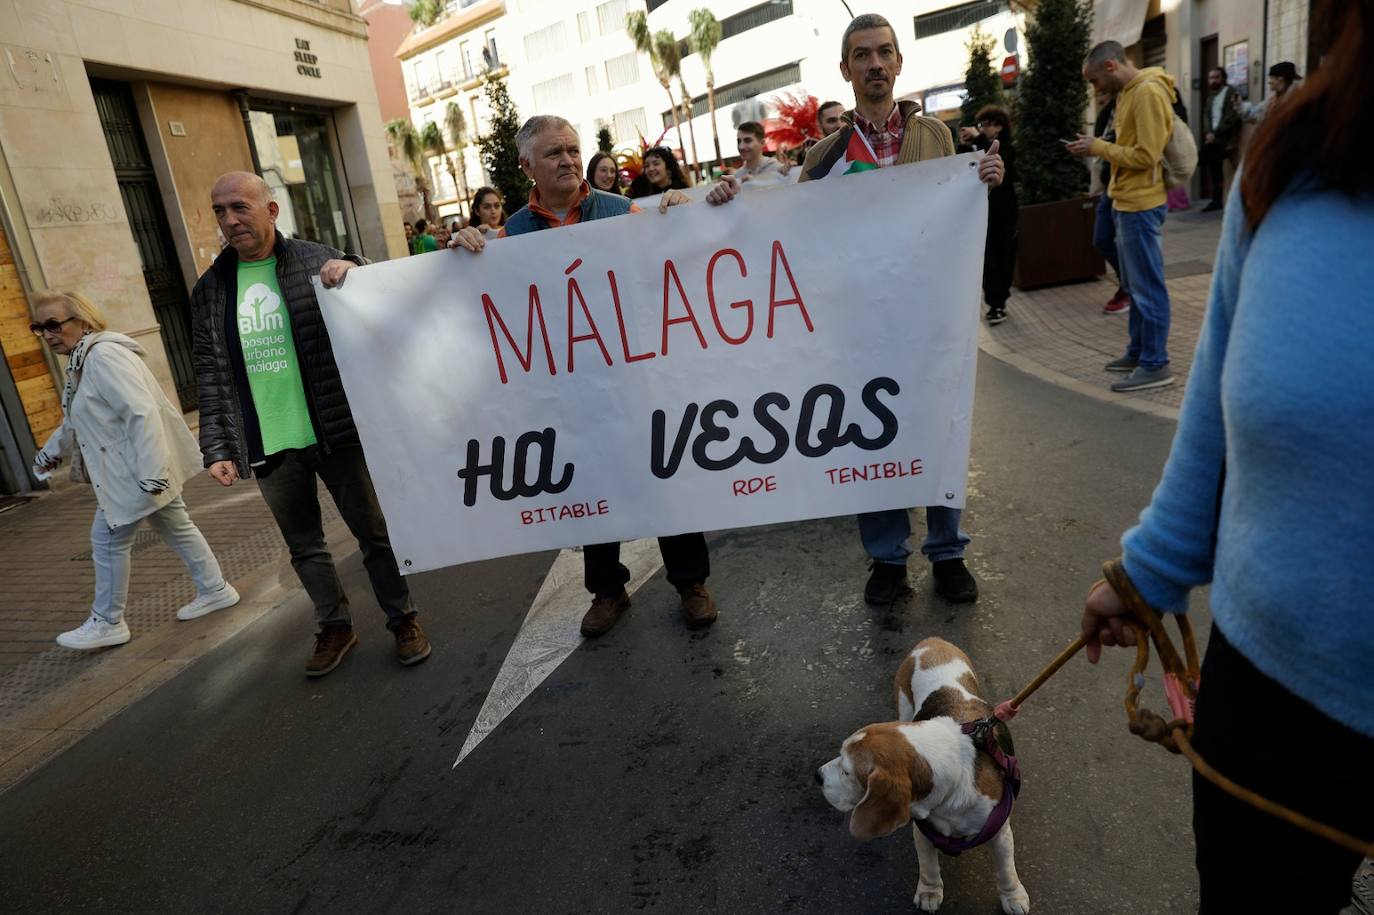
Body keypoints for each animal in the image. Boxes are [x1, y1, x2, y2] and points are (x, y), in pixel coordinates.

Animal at [813, 637, 1033, 906]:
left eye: (846, 771)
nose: (818, 776)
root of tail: (933, 641)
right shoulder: (923, 831)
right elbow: (928, 866)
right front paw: (929, 892)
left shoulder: (1000, 833)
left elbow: (1006, 869)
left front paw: (1013, 897)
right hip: (904, 705)